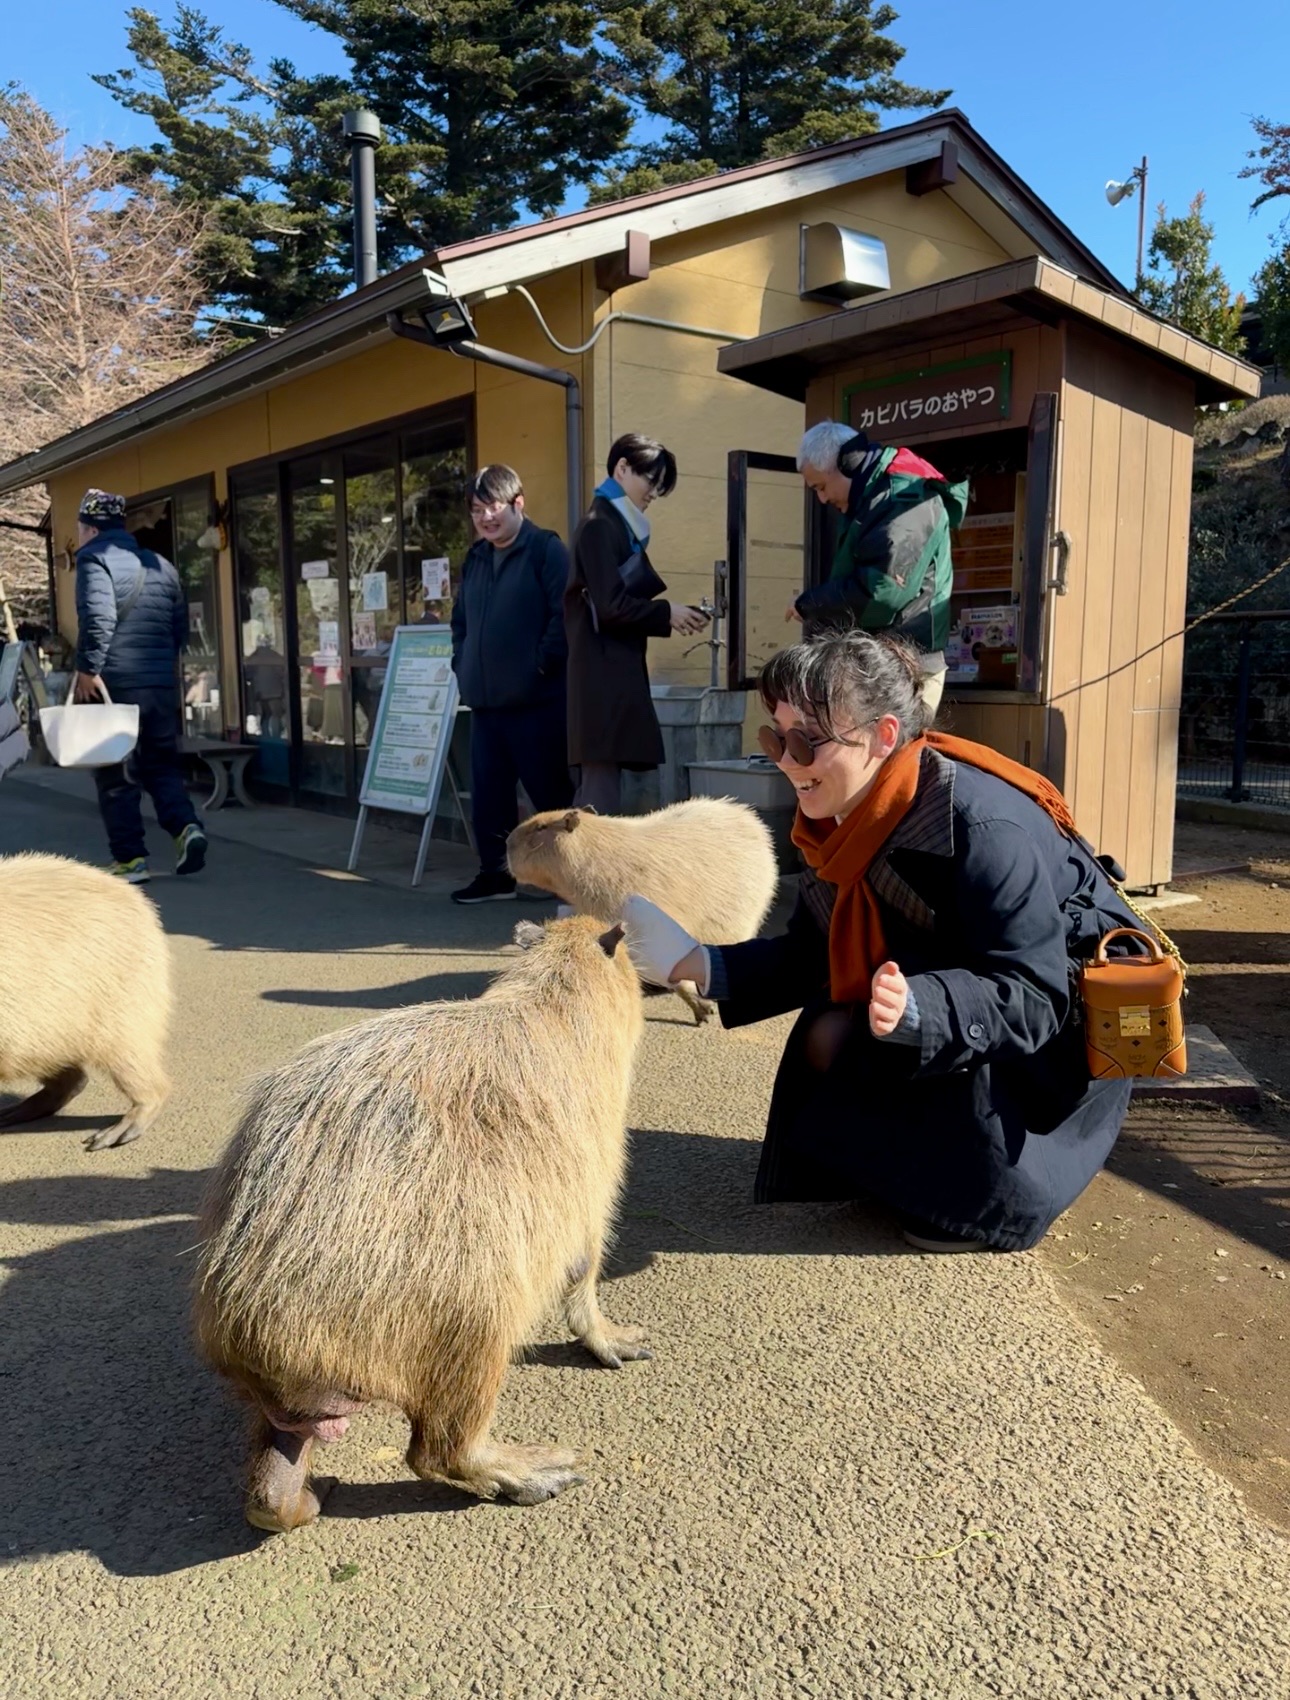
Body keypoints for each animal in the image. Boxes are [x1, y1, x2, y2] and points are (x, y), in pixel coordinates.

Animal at [194, 914, 648, 1533]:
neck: (549, 1003)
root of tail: (246, 1330)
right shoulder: (591, 1180)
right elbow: (585, 1270)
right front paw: (619, 1341)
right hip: (477, 1321)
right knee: (437, 1450)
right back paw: (538, 1472)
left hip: (296, 1401)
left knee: (269, 1491)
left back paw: (315, 1493)